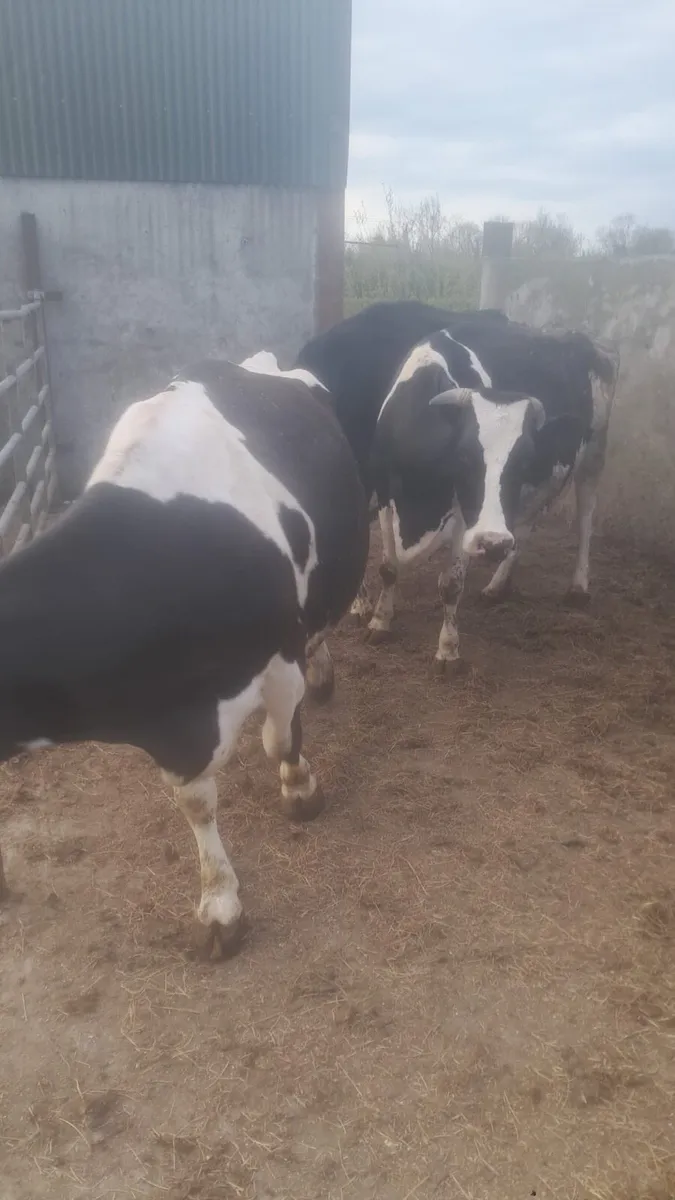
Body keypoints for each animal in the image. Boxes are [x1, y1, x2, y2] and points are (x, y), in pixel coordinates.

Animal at [0, 353, 369, 956]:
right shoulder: (175, 730)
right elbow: (196, 803)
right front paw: (220, 903)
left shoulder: (278, 658)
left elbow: (280, 738)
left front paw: (301, 789)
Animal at [366, 324, 618, 670]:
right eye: (462, 457)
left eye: (523, 461)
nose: (493, 543)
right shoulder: (384, 496)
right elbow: (388, 568)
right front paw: (380, 621)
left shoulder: (465, 519)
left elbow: (451, 584)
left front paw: (448, 650)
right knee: (524, 526)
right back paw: (497, 586)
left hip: (593, 455)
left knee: (584, 519)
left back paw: (578, 586)